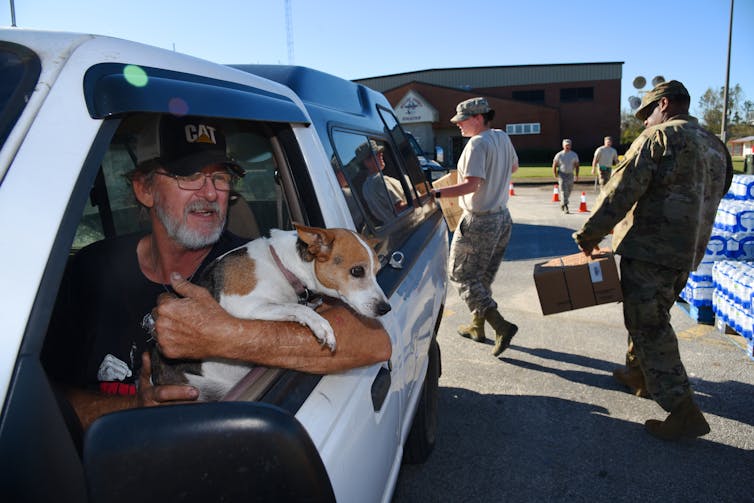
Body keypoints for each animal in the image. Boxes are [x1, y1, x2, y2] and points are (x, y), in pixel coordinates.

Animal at [151, 224, 390, 402]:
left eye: (377, 271)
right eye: (357, 271)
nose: (385, 308)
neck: (282, 265)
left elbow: (297, 305)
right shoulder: (244, 305)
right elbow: (297, 307)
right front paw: (320, 324)